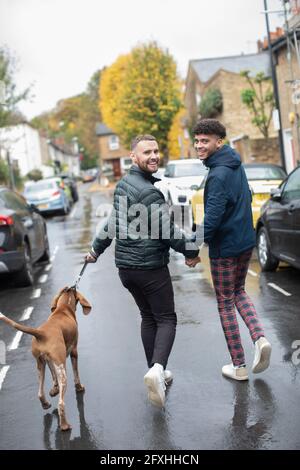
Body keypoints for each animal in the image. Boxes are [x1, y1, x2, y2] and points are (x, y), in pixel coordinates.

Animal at [0, 284, 91, 432]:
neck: (63, 309)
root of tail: (41, 332)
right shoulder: (74, 352)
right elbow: (76, 373)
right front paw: (79, 387)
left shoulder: (49, 360)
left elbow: (53, 376)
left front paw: (54, 390)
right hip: (63, 371)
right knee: (61, 403)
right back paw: (64, 425)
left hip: (40, 365)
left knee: (40, 393)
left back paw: (45, 404)